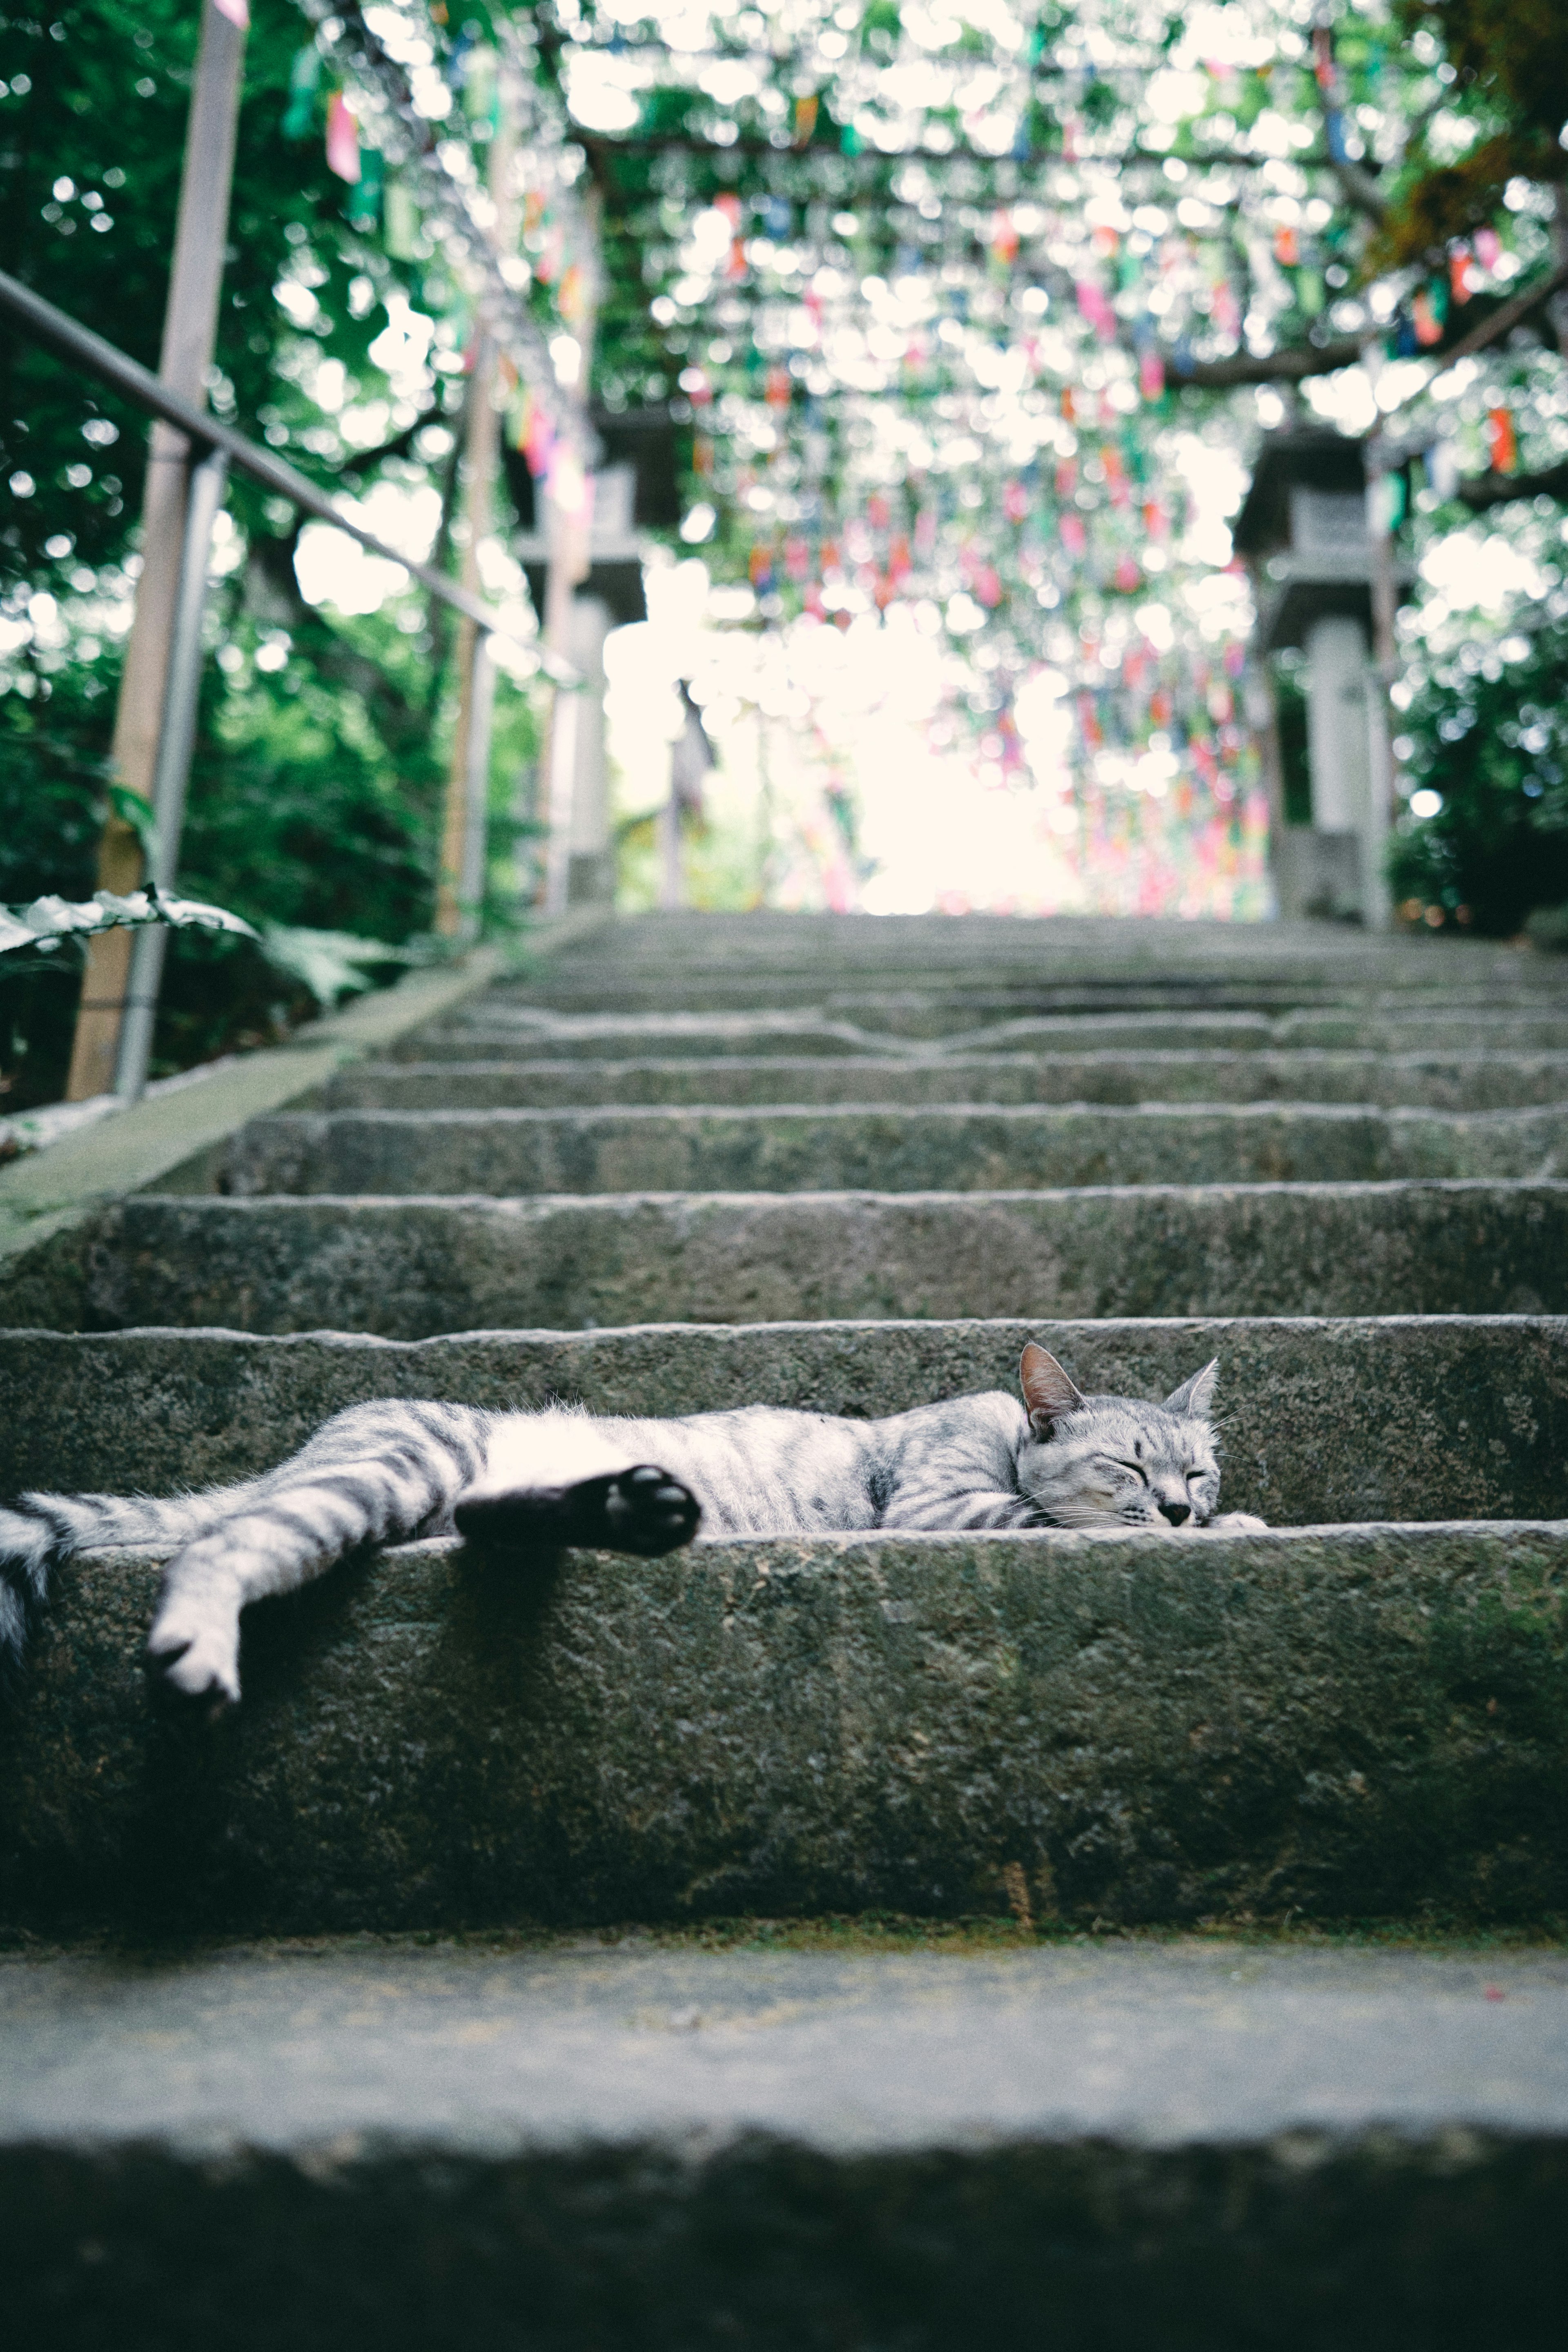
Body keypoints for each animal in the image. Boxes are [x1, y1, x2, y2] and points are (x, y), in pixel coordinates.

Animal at [3, 1345, 1260, 1712]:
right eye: (1131, 1466)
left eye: (1193, 1464)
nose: (1186, 1501)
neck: (998, 1423)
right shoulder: (939, 1501)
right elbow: (1048, 1514)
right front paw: (1228, 1528)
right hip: (392, 1469)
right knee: (220, 1544)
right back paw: (197, 1642)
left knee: (491, 1527)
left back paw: (627, 1506)